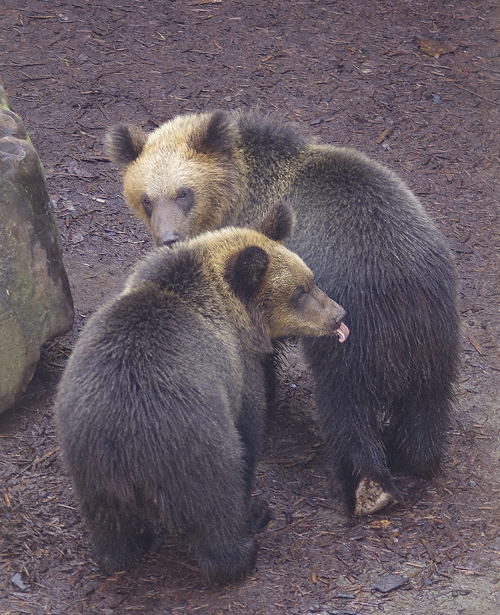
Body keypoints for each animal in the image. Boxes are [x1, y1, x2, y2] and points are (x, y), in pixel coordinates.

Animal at [51, 205, 348, 584]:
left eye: (311, 279)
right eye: (298, 292)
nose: (338, 315)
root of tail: (124, 440)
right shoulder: (238, 371)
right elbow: (250, 428)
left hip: (86, 458)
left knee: (109, 526)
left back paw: (122, 552)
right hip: (192, 446)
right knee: (216, 503)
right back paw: (245, 542)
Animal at [105, 109, 460, 516]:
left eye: (184, 192)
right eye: (146, 198)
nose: (168, 239)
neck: (238, 191)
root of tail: (403, 286)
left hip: (354, 333)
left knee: (347, 406)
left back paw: (368, 489)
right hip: (437, 332)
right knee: (427, 403)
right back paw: (414, 460)